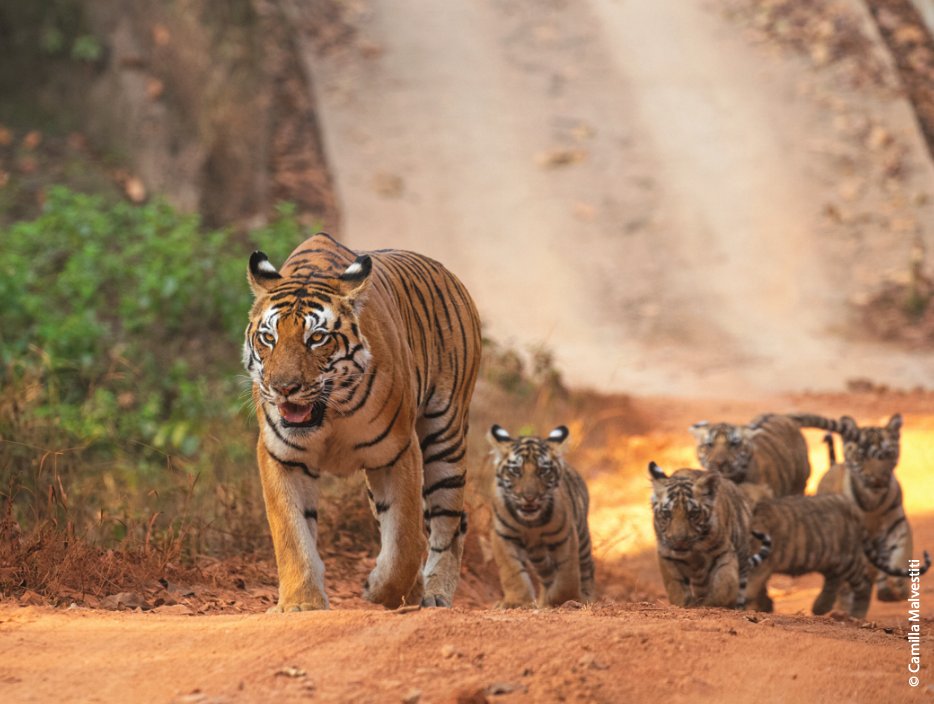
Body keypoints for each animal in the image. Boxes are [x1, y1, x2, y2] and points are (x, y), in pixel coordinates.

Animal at [243, 232, 481, 611]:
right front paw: (301, 602)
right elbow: (292, 533)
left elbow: (403, 542)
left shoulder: (397, 452)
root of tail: (447, 273)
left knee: (449, 523)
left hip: (446, 435)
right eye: (269, 338)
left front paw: (381, 592)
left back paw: (435, 594)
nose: (284, 388)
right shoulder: (282, 455)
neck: (330, 415)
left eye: (317, 338)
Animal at [488, 425, 595, 608]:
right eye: (516, 471)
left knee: (586, 569)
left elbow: (567, 573)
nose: (529, 497)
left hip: (582, 538)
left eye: (543, 471)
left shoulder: (565, 536)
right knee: (547, 574)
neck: (530, 524)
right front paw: (516, 602)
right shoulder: (503, 535)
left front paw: (563, 600)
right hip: (538, 555)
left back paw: (584, 597)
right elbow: (512, 571)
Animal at [649, 463, 766, 609]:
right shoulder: (667, 554)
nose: (679, 540)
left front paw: (713, 604)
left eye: (693, 514)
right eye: (667, 514)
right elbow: (675, 585)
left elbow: (724, 584)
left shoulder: (724, 552)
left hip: (742, 556)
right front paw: (683, 603)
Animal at [746, 493, 930, 619]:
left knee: (862, 581)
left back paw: (856, 615)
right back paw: (821, 607)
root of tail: (851, 506)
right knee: (834, 579)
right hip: (830, 557)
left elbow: (748, 589)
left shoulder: (761, 566)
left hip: (847, 558)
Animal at [792, 412, 927, 601]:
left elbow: (901, 554)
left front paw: (897, 586)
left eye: (888, 454)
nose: (878, 481)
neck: (873, 502)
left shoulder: (898, 527)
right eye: (861, 456)